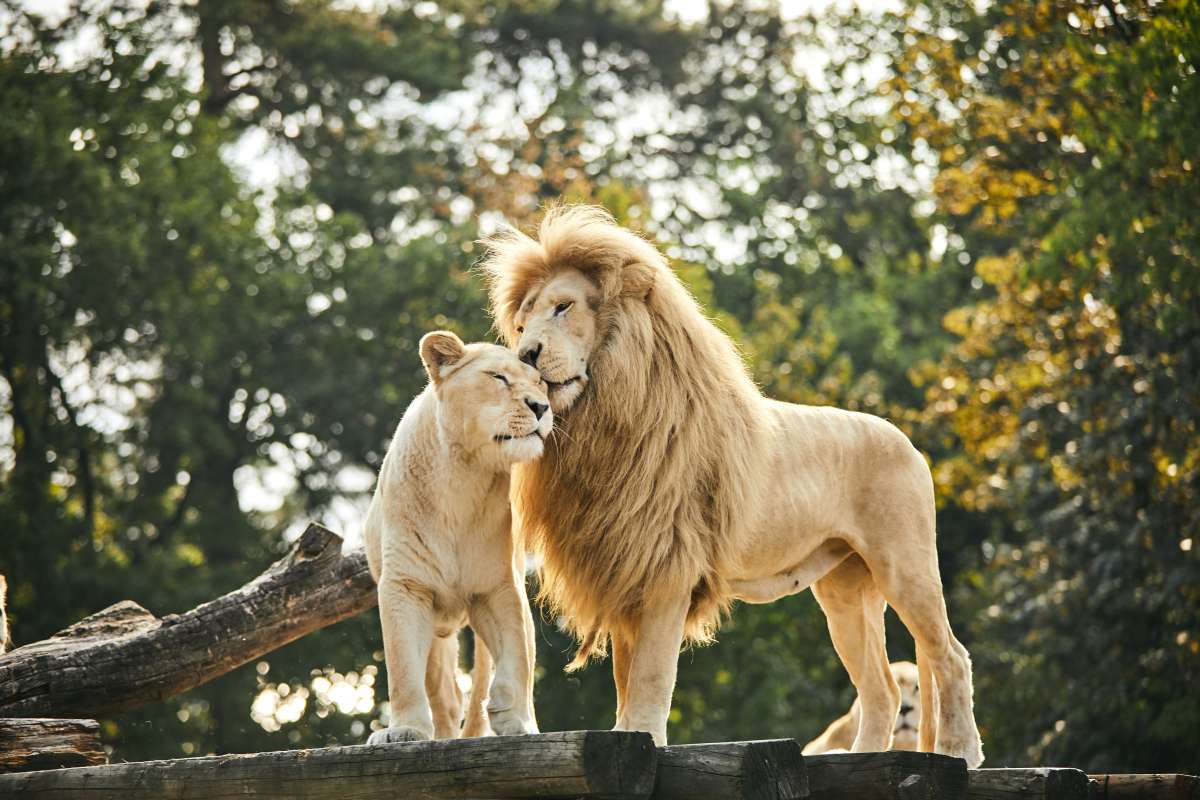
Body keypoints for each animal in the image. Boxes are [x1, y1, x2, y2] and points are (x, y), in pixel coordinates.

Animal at [362, 331, 547, 743]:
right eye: (498, 378)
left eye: (540, 383)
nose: (542, 407)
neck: (465, 474)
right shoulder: (406, 586)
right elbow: (403, 669)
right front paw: (405, 730)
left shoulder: (498, 586)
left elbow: (517, 652)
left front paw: (513, 717)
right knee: (445, 696)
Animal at [480, 203, 984, 767]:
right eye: (520, 324)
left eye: (563, 307)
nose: (525, 353)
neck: (605, 420)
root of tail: (907, 441)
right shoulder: (626, 568)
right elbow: (627, 681)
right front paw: (627, 738)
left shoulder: (667, 570)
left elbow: (651, 678)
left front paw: (644, 741)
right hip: (844, 592)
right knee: (883, 688)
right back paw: (862, 759)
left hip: (904, 565)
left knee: (950, 655)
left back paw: (962, 752)